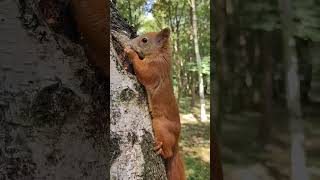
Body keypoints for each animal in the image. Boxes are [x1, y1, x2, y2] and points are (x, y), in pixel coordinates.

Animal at [124, 28, 186, 180]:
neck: (159, 56)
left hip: (161, 125)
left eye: (144, 40)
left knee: (168, 152)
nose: (130, 42)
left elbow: (144, 72)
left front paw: (130, 52)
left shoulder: (155, 70)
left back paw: (161, 150)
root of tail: (177, 142)